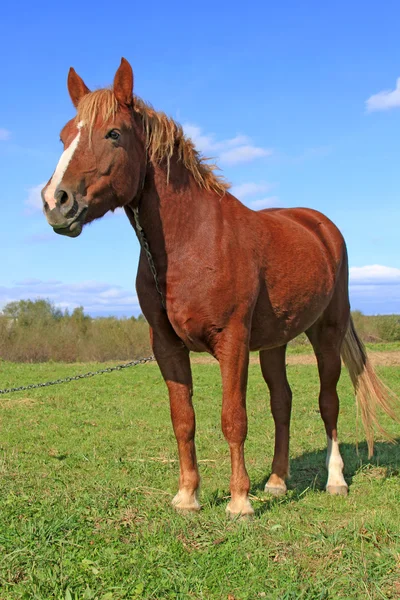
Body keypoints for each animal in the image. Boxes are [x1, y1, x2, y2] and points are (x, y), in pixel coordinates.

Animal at [41, 57, 400, 516]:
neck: (193, 242)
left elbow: (234, 418)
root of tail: (320, 226)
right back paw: (277, 482)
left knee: (328, 401)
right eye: (65, 135)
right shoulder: (168, 346)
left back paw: (335, 479)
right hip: (273, 343)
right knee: (282, 402)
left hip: (327, 331)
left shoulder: (231, 341)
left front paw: (240, 502)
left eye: (114, 133)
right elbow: (184, 420)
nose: (55, 202)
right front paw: (187, 496)